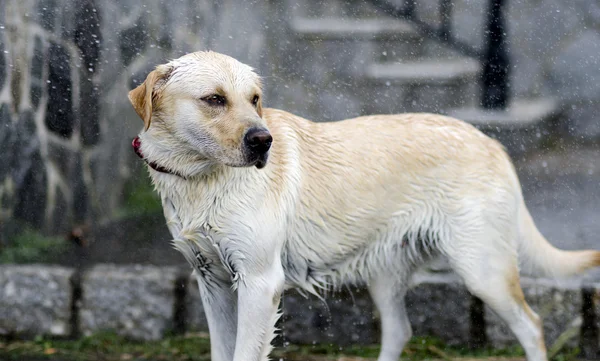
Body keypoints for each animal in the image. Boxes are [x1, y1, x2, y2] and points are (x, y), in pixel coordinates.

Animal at [126, 51, 600, 360]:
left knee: (531, 326)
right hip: (387, 273)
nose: (264, 141)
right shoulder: (213, 282)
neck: (201, 180)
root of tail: (490, 141)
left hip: (484, 271)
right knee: (400, 331)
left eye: (255, 99)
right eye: (214, 99)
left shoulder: (259, 284)